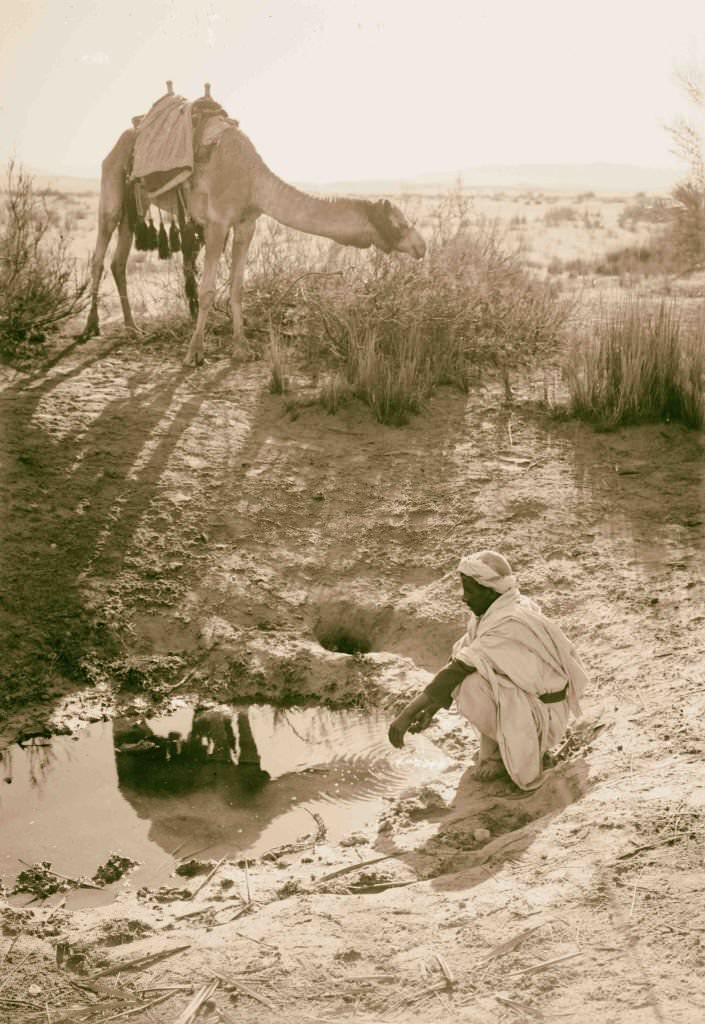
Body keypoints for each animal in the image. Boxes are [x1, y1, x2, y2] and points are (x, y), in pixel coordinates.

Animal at [79, 108, 426, 364]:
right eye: (397, 223)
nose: (421, 246)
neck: (253, 179)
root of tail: (127, 135)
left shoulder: (247, 224)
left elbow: (237, 287)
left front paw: (242, 347)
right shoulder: (217, 222)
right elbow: (207, 290)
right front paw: (194, 353)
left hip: (135, 206)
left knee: (119, 262)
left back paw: (132, 328)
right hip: (112, 185)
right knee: (99, 254)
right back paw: (90, 327)